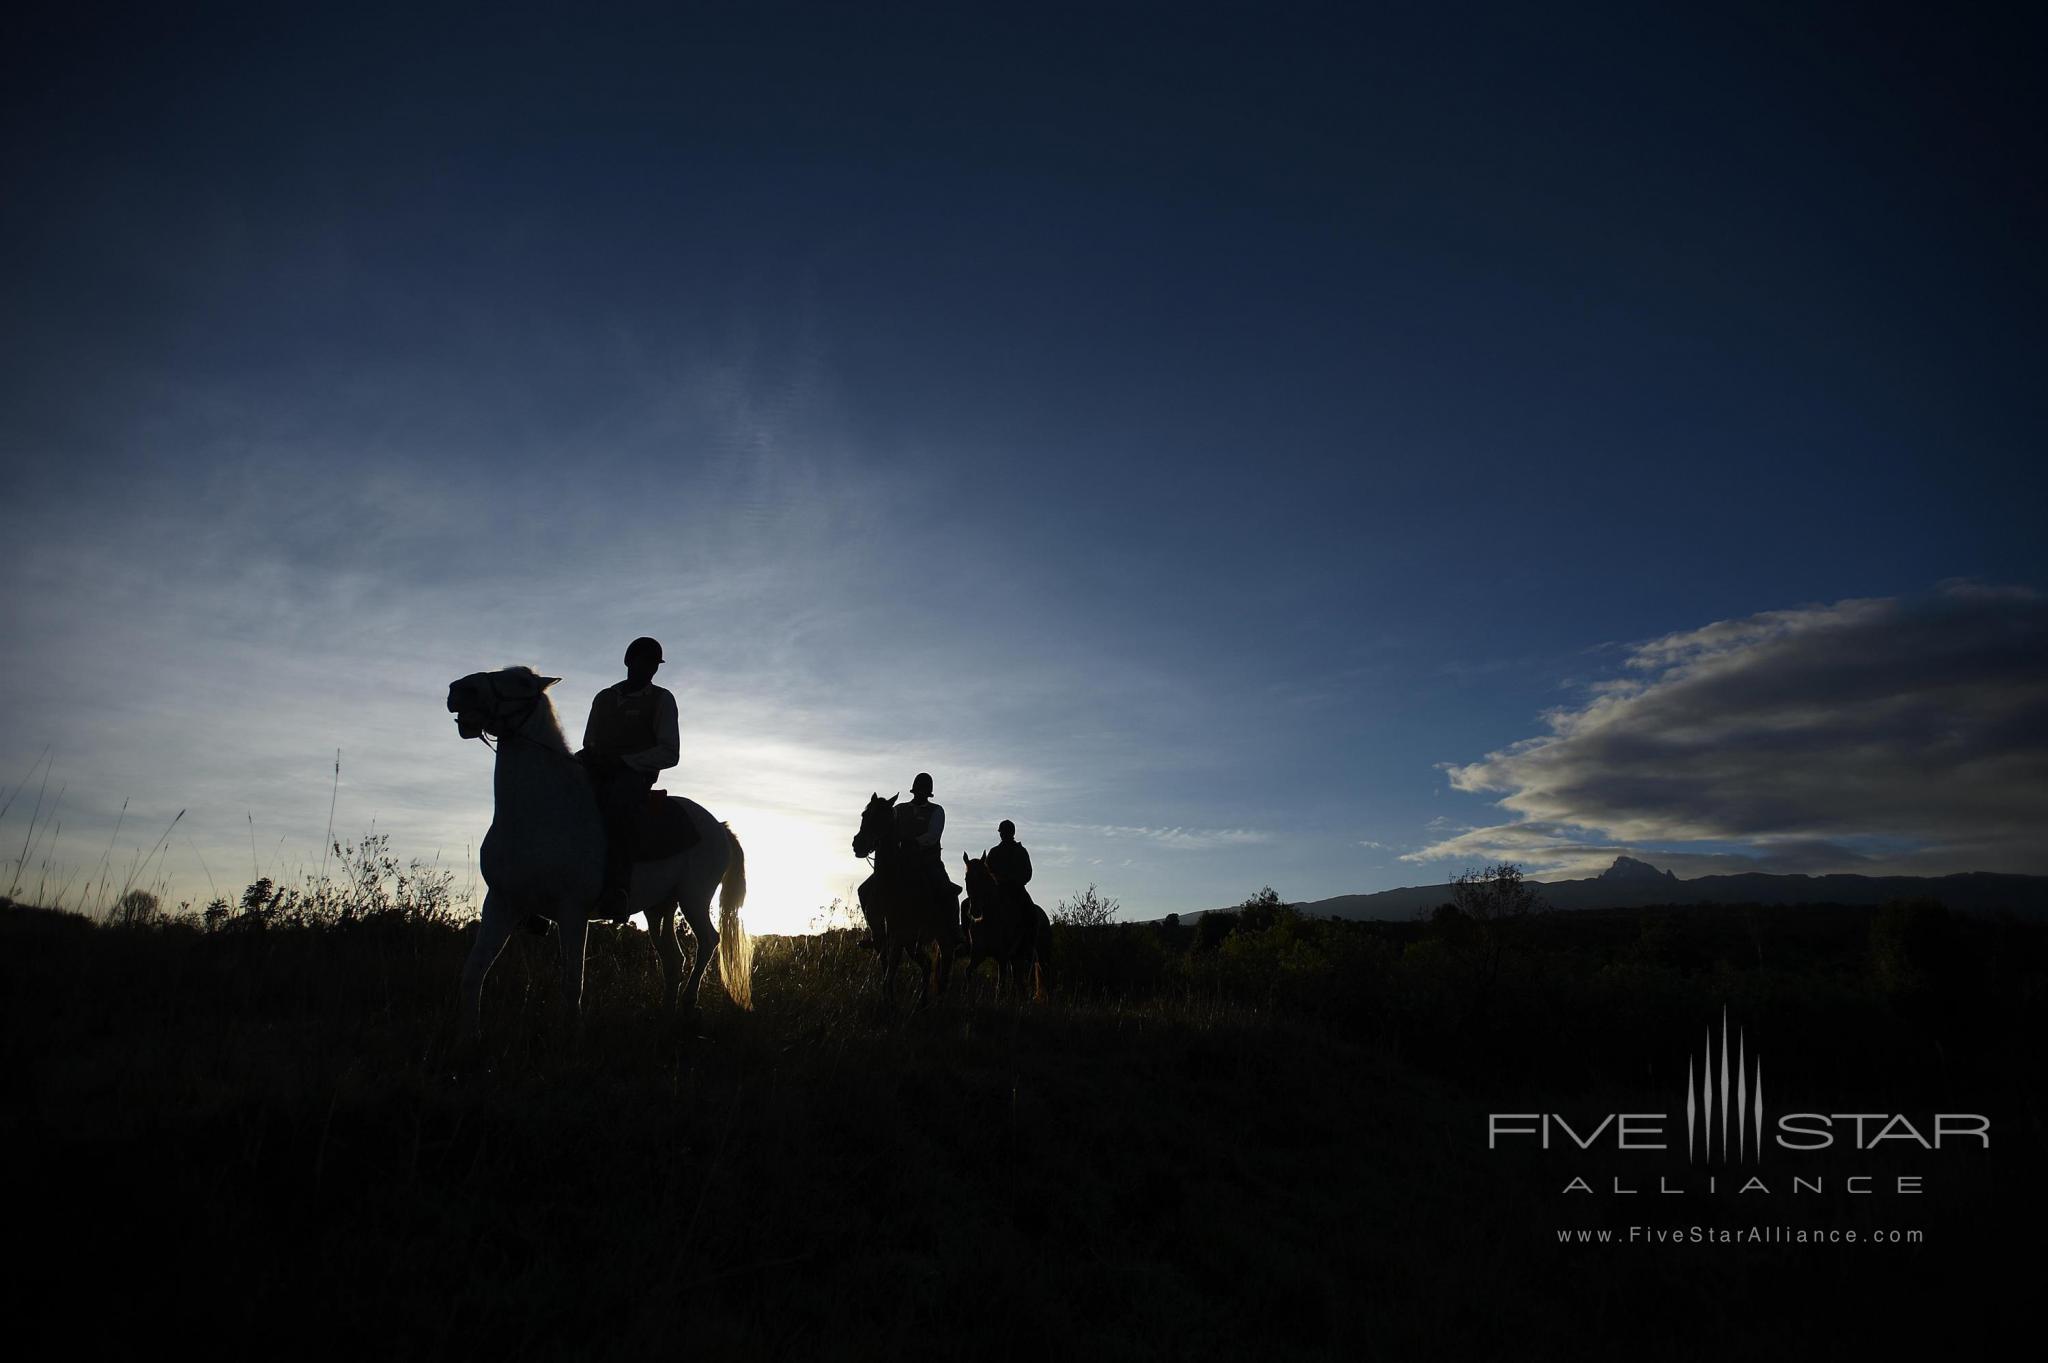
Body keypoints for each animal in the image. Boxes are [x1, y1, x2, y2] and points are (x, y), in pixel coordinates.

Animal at [444, 663, 749, 1035]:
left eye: (522, 682)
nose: (459, 691)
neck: (536, 812)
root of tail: (718, 825)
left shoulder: (572, 911)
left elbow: (572, 982)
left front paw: (571, 1032)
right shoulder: (501, 902)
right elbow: (474, 972)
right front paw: (467, 1033)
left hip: (694, 896)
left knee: (708, 941)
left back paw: (690, 1007)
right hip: (659, 906)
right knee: (673, 958)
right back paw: (666, 1015)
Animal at [847, 789, 950, 1002]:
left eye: (884, 818)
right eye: (864, 814)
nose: (858, 845)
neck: (890, 885)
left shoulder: (900, 935)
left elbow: (891, 969)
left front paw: (889, 1001)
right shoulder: (879, 934)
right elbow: (886, 967)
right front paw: (887, 1000)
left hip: (938, 938)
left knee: (942, 967)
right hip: (912, 943)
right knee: (927, 965)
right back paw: (922, 1002)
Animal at [958, 855, 1056, 1002]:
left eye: (984, 876)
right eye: (966, 878)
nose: (975, 911)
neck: (990, 919)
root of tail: (1043, 915)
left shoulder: (1002, 957)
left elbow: (1000, 985)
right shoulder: (978, 954)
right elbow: (967, 972)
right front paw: (966, 998)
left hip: (1042, 955)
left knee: (1044, 976)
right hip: (1016, 957)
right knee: (1018, 979)